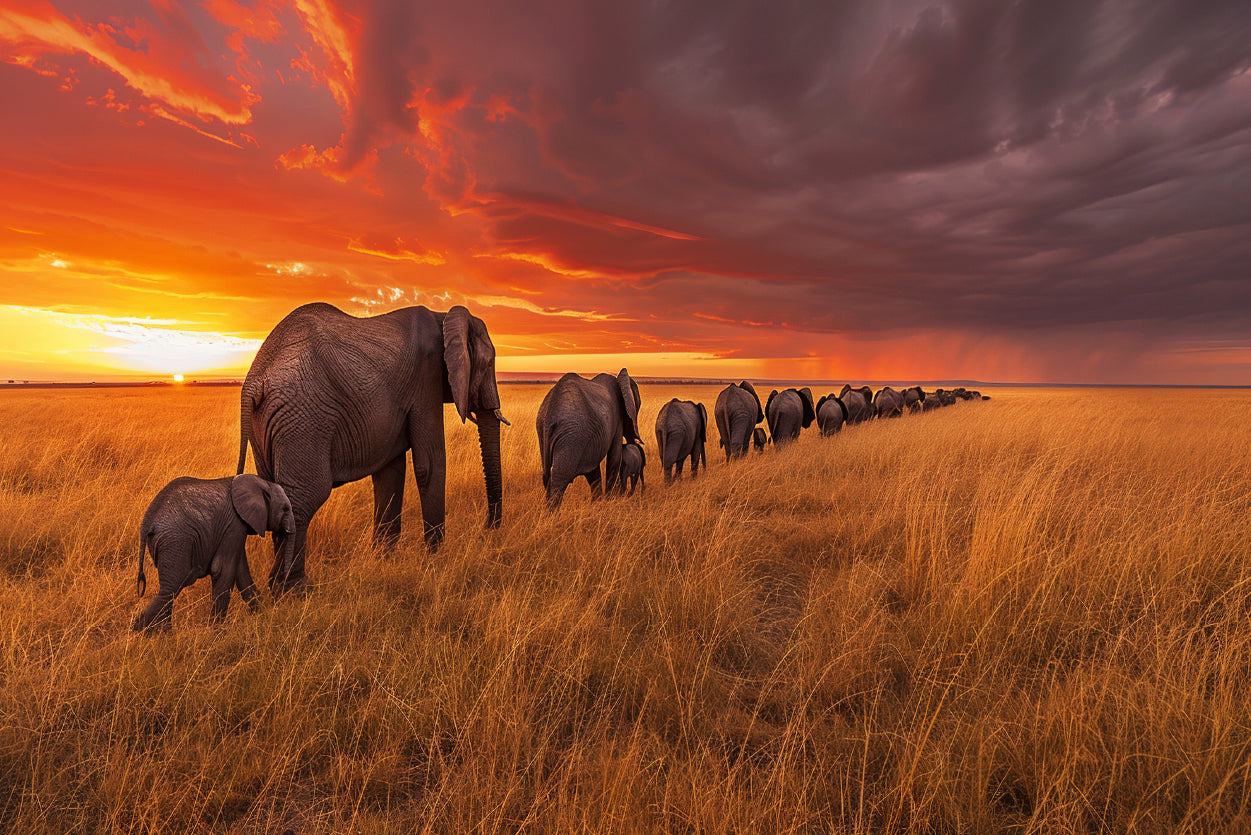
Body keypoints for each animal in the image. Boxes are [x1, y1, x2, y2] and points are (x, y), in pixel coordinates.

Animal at [133, 474, 294, 632]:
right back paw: (148, 632)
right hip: (176, 541)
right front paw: (217, 632)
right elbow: (223, 569)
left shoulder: (237, 526)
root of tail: (147, 522)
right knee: (171, 589)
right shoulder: (234, 523)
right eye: (286, 508)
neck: (260, 482)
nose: (282, 588)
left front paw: (262, 617)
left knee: (171, 590)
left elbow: (241, 572)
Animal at [238, 303, 506, 595]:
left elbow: (390, 473)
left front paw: (384, 560)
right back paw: (295, 590)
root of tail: (254, 380)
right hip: (304, 419)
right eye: (488, 364)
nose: (489, 529)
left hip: (268, 423)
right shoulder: (427, 381)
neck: (443, 317)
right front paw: (436, 559)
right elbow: (430, 464)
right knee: (304, 497)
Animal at [536, 368, 642, 510]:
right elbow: (614, 459)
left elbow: (593, 470)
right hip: (573, 437)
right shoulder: (618, 417)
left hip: (545, 434)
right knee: (559, 479)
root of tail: (549, 416)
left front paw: (598, 505)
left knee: (547, 477)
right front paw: (609, 502)